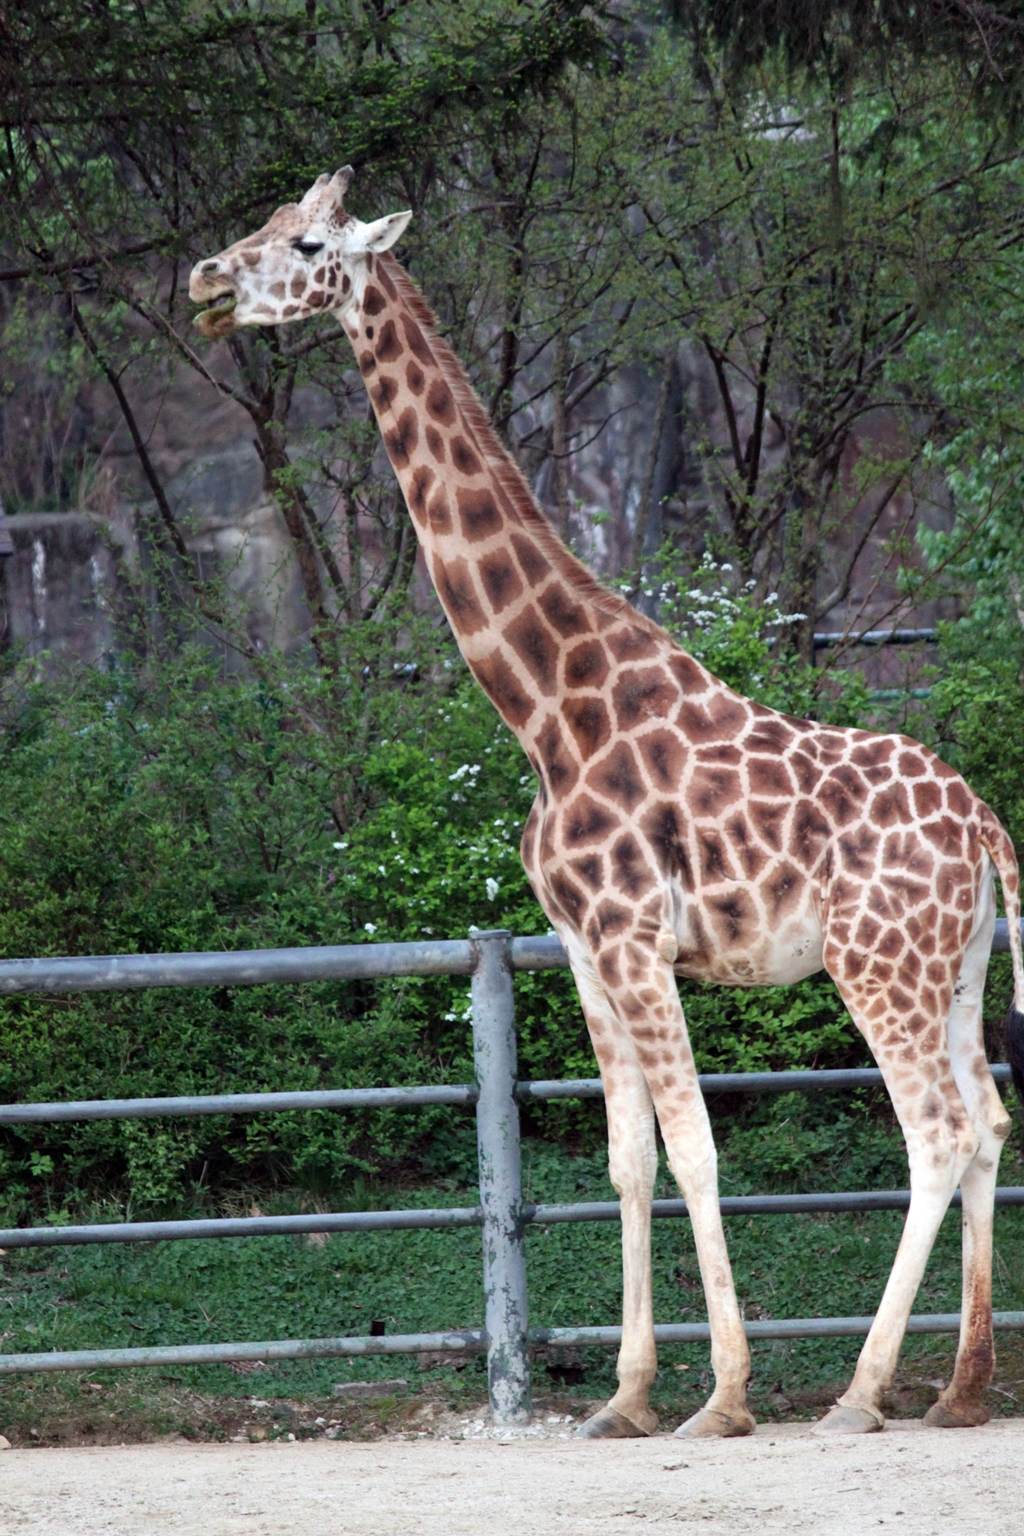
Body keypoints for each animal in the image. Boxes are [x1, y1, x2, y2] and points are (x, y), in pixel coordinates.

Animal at [190, 168, 1024, 1439]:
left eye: (307, 245)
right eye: (269, 225)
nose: (203, 280)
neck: (546, 710)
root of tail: (982, 824)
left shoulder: (634, 939)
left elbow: (694, 1152)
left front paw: (720, 1399)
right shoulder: (581, 947)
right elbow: (627, 1160)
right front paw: (625, 1399)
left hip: (874, 963)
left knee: (934, 1131)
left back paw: (858, 1394)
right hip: (957, 964)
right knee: (987, 1122)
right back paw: (960, 1392)